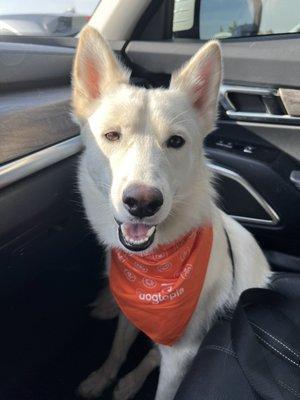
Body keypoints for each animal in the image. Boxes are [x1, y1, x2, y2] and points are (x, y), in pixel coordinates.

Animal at [72, 27, 272, 400]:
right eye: (112, 135)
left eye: (176, 142)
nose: (142, 203)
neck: (154, 266)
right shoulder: (133, 311)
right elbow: (118, 347)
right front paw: (103, 376)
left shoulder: (181, 353)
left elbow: (161, 380)